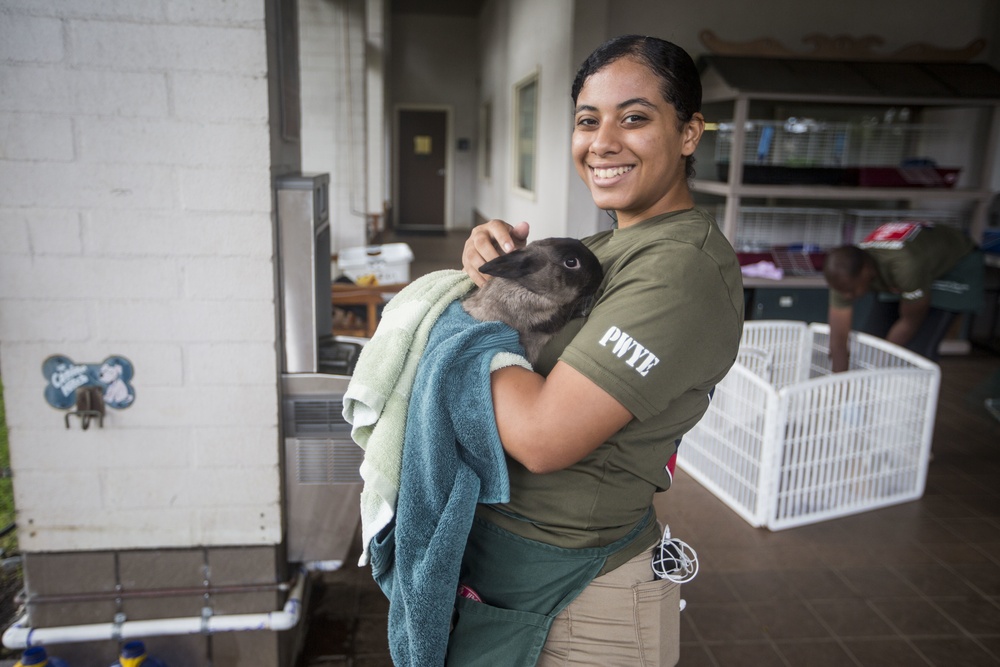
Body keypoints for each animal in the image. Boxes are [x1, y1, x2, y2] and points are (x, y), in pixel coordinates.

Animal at [460, 235, 600, 360]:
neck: (529, 288)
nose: (601, 273)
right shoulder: (543, 321)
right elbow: (563, 316)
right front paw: (584, 306)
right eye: (571, 262)